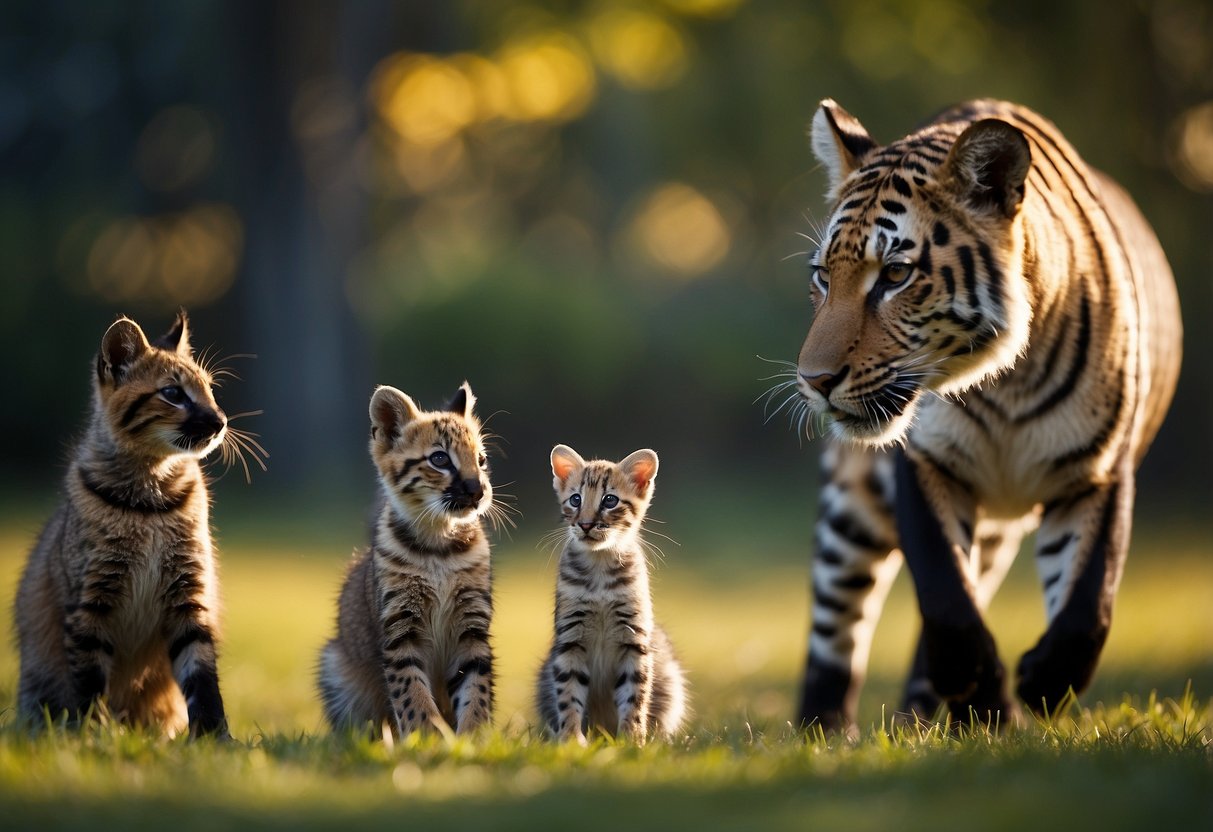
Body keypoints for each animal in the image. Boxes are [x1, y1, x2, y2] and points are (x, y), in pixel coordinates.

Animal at [320, 383, 499, 737]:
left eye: (482, 460)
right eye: (440, 459)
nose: (478, 490)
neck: (439, 544)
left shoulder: (472, 626)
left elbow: (477, 688)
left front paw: (475, 737)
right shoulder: (399, 626)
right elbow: (411, 691)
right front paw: (427, 738)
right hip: (335, 664)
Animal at [536, 446, 688, 747]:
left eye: (610, 500)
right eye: (575, 499)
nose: (585, 524)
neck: (600, 572)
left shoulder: (634, 639)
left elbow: (635, 696)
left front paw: (632, 742)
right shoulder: (570, 639)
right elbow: (568, 695)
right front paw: (572, 742)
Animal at [790, 101, 1179, 732]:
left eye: (894, 275)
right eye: (824, 276)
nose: (815, 381)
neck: (1007, 384)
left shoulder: (1098, 472)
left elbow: (1089, 597)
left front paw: (1041, 685)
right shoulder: (926, 465)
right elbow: (944, 589)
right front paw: (974, 685)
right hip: (855, 511)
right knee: (835, 624)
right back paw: (821, 729)